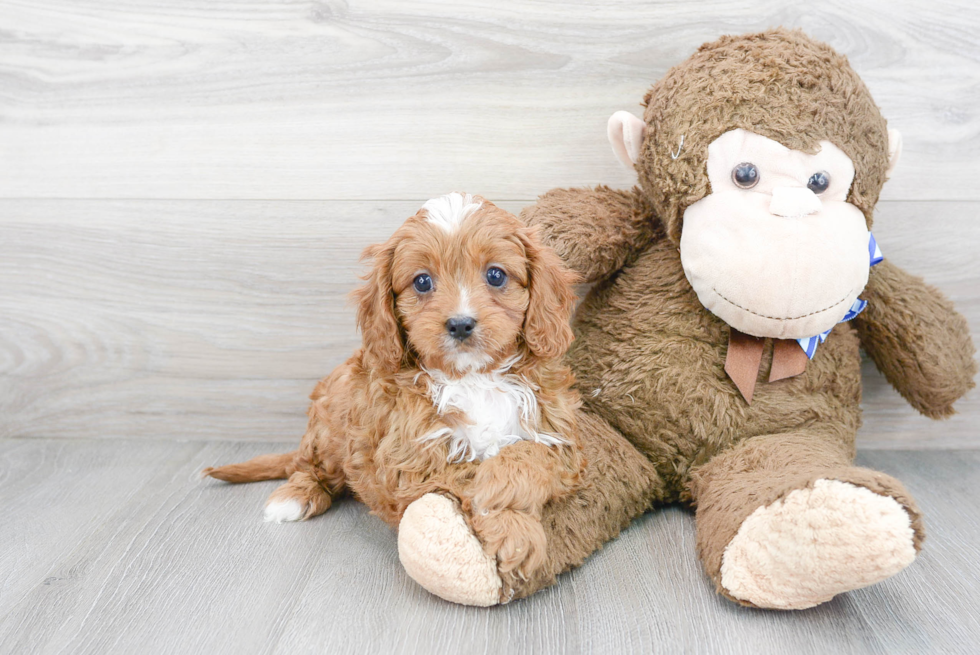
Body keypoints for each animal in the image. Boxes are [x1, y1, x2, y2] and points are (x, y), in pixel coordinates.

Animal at [200, 193, 580, 600]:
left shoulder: (561, 438)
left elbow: (526, 455)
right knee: (309, 466)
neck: (473, 377)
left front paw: (506, 505)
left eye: (496, 275)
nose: (460, 324)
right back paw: (295, 497)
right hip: (329, 418)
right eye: (422, 282)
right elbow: (467, 474)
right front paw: (514, 530)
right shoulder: (412, 461)